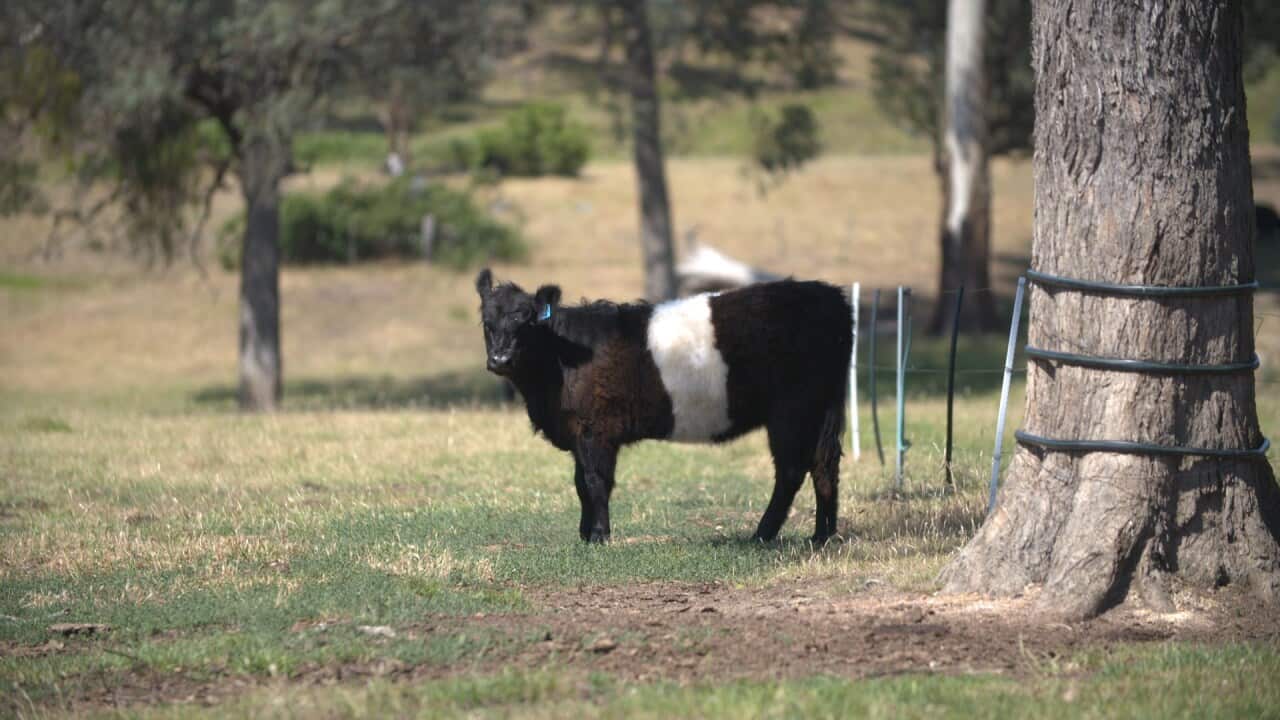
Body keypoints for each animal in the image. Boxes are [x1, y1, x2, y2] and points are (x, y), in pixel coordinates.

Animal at [475, 269, 852, 545]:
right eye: (486, 323)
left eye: (526, 322)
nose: (500, 360)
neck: (561, 357)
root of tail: (829, 296)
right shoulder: (579, 432)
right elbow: (580, 483)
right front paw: (585, 534)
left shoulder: (596, 430)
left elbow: (596, 482)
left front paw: (599, 536)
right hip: (821, 408)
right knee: (824, 464)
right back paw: (822, 536)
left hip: (792, 410)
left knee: (791, 470)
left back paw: (762, 534)